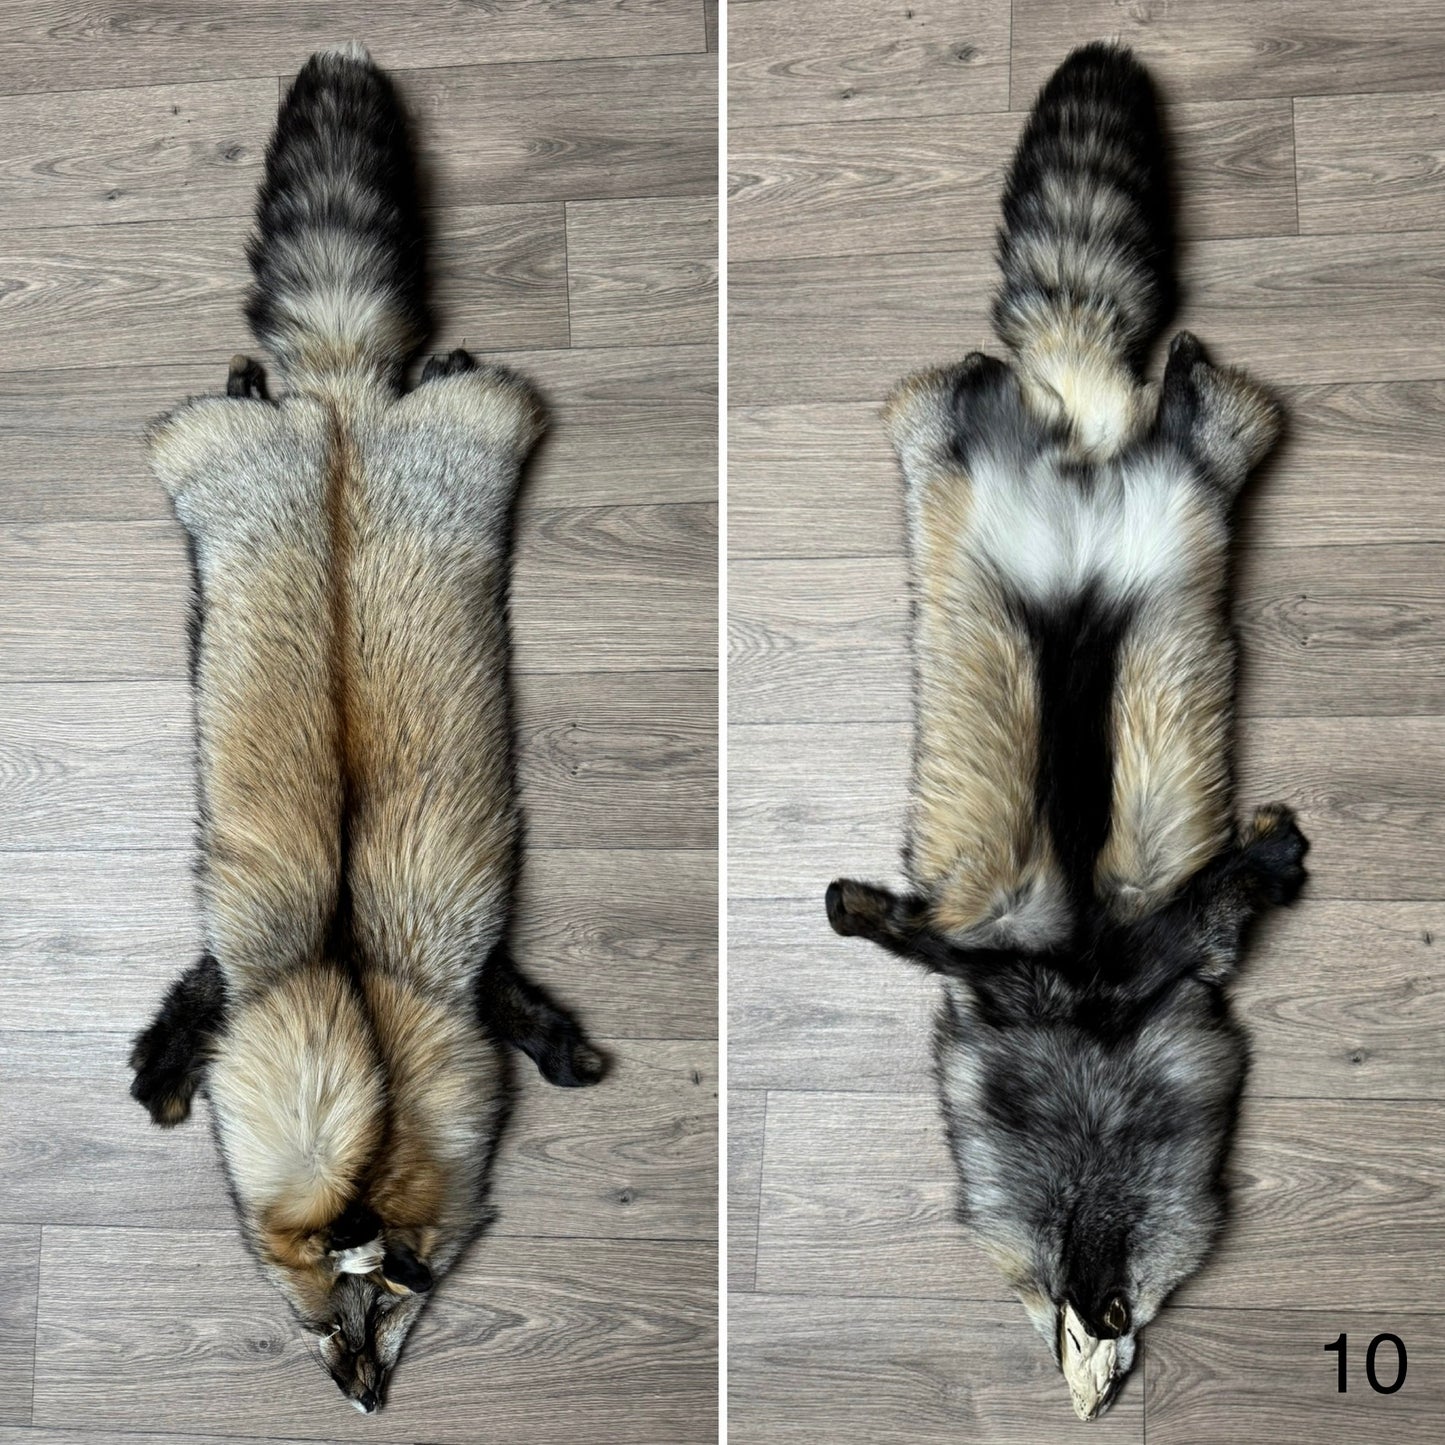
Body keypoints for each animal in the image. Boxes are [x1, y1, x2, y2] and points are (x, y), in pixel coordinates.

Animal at [129, 43, 602, 1412]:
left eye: (386, 1312)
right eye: (316, 1324)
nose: (363, 1398)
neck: (348, 977)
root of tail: (339, 407)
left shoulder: (459, 974)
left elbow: (523, 1010)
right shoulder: (245, 965)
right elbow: (189, 1002)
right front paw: (156, 1078)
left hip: (460, 432)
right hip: (219, 457)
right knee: (265, 392)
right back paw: (266, 375)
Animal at [825, 43, 1308, 1420]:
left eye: (1116, 1318)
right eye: (1058, 1312)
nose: (1095, 1343)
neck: (1088, 1020)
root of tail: (1080, 423)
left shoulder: (1161, 947)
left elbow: (1232, 886)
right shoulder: (1003, 958)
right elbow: (914, 934)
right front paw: (854, 909)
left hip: (1167, 478)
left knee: (1190, 406)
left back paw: (1177, 369)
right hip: (968, 452)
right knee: (1006, 388)